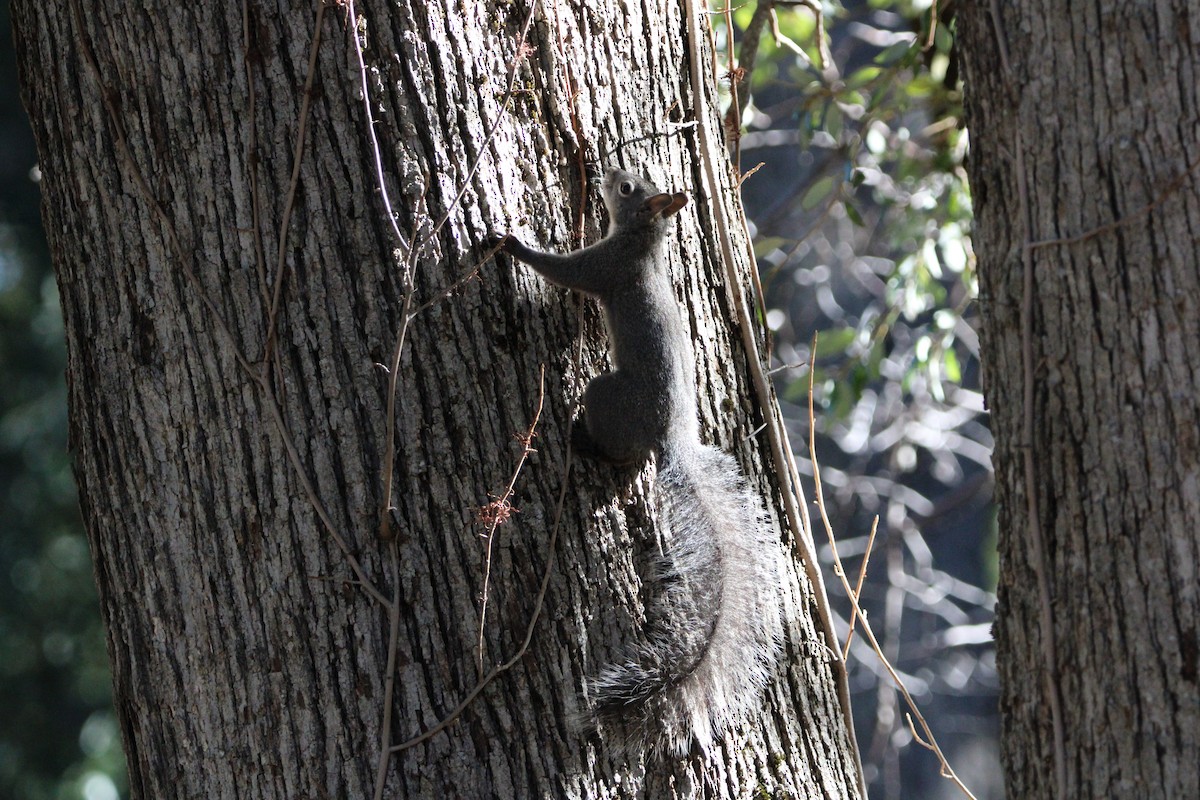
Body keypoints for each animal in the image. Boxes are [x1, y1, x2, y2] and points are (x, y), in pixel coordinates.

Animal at [493, 168, 783, 756]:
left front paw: (513, 245)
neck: (643, 243)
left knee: (620, 451)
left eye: (628, 190)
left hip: (607, 397)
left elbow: (565, 271)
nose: (607, 171)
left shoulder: (604, 266)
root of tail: (669, 440)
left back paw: (582, 440)